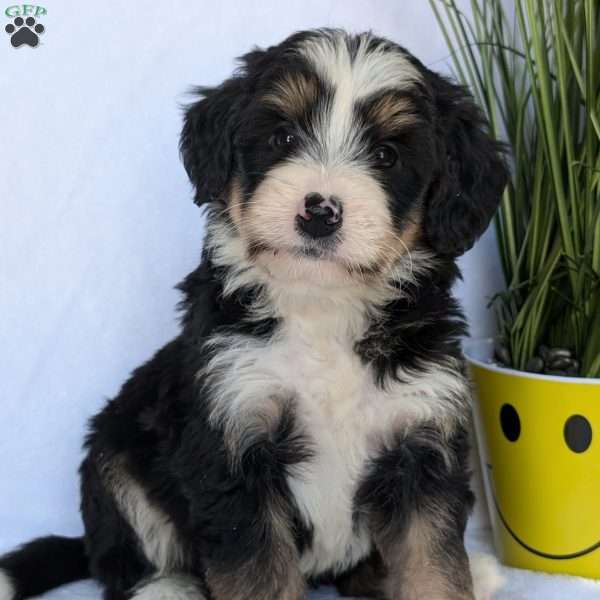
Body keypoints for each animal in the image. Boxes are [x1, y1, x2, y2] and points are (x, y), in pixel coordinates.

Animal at [0, 30, 508, 600]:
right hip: (114, 454)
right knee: (126, 561)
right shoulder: (232, 440)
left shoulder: (421, 444)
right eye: (283, 138)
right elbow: (256, 572)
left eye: (386, 155)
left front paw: (452, 577)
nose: (320, 211)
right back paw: (168, 590)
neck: (321, 308)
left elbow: (431, 564)